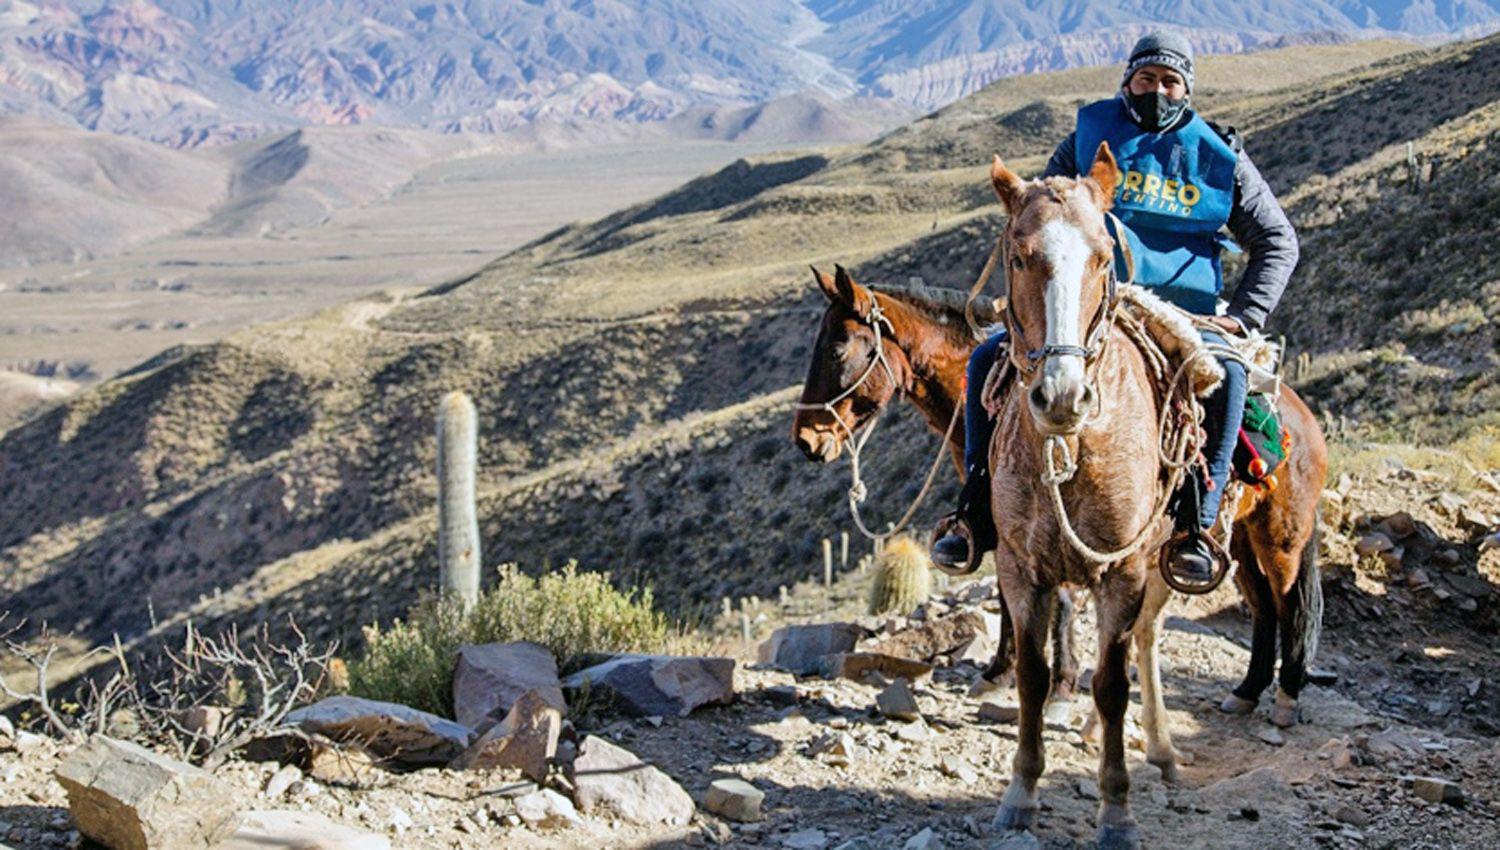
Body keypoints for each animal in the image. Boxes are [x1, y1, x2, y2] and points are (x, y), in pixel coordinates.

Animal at [984, 143, 1326, 845]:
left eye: (1102, 258)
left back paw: (1277, 701)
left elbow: (1112, 682)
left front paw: (1116, 810)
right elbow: (1033, 678)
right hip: (1214, 554)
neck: (1074, 451)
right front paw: (1021, 794)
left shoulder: (1121, 572)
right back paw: (1187, 732)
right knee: (1191, 626)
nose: (1063, 397)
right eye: (1019, 255)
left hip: (1274, 543)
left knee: (1284, 606)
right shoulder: (1021, 570)